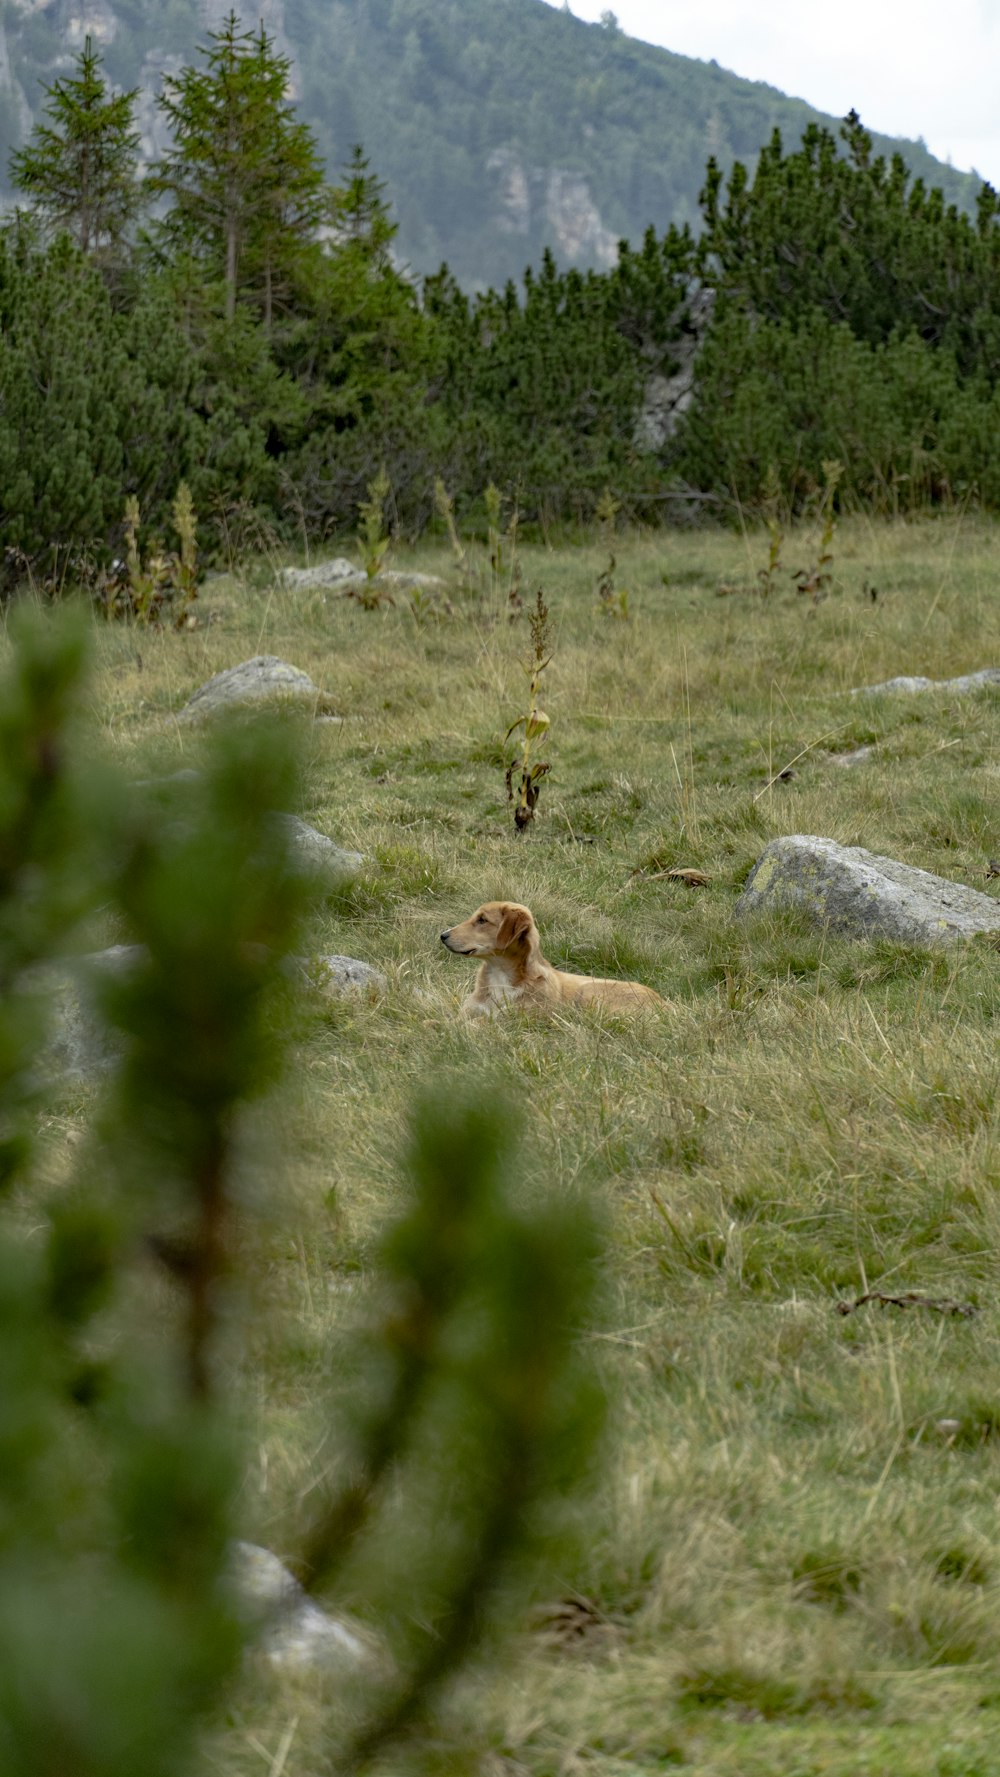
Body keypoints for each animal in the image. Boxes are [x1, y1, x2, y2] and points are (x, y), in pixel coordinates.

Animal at [440, 902, 664, 1016]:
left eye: (482, 920)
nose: (443, 935)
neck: (500, 975)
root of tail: (664, 1002)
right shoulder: (465, 1015)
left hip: (589, 992)